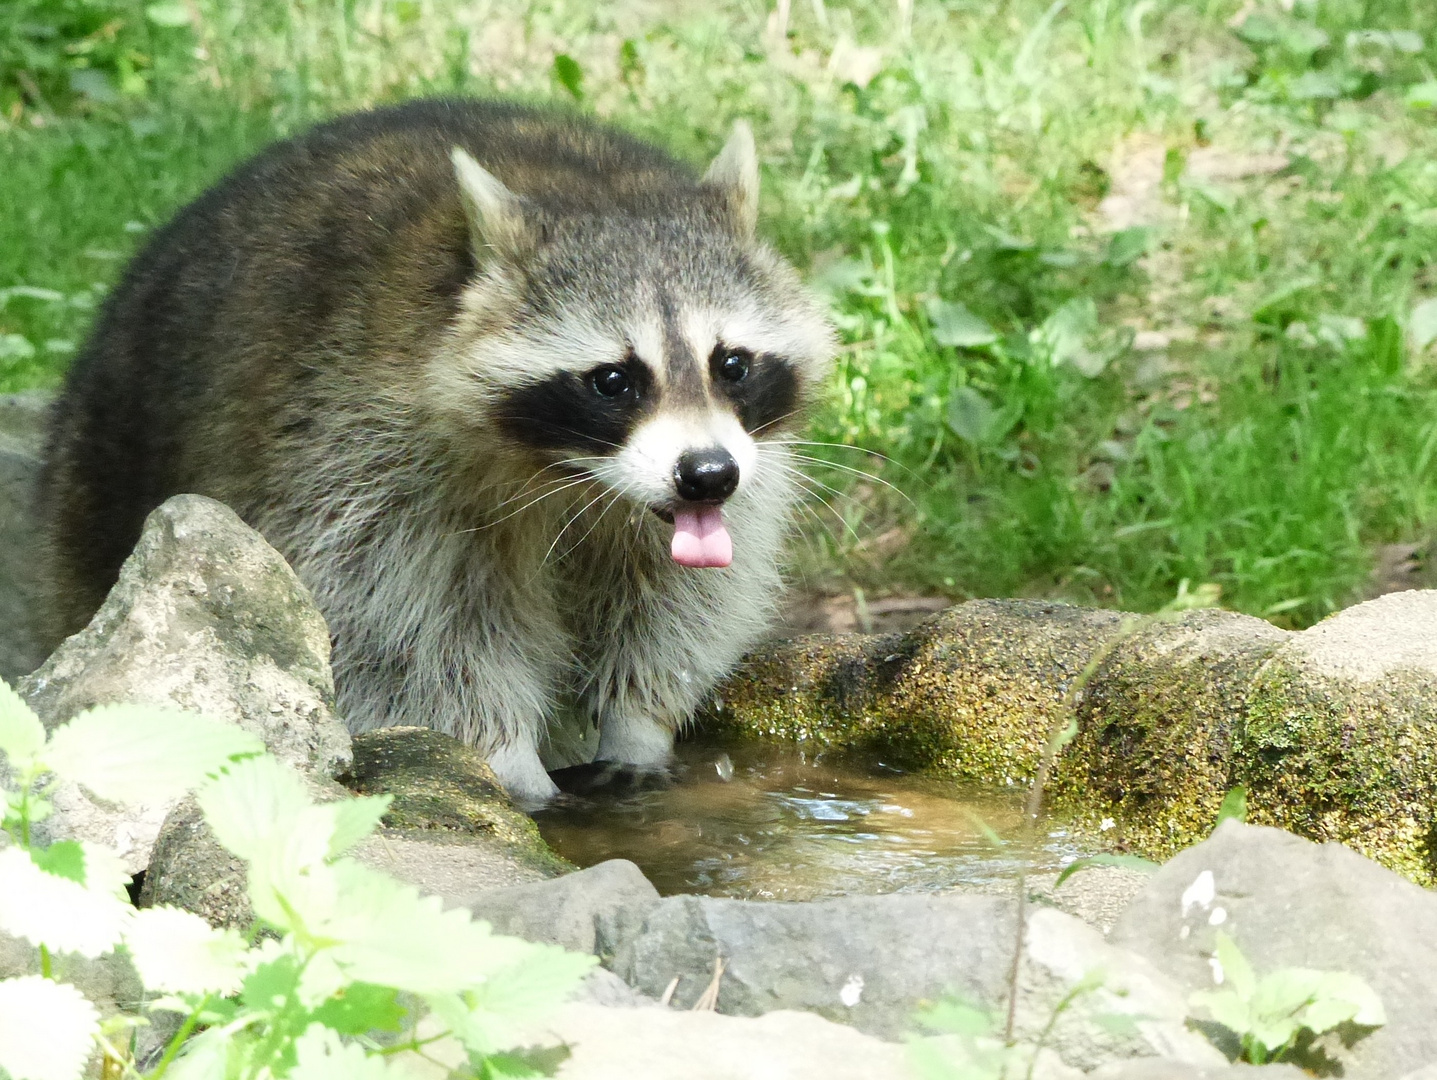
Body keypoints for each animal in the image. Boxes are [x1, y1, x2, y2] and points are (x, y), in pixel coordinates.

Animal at [39, 96, 839, 804]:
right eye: (613, 381)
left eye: (731, 364)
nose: (707, 477)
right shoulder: (358, 445)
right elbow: (401, 623)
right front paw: (504, 760)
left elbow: (679, 597)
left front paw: (637, 720)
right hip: (102, 481)